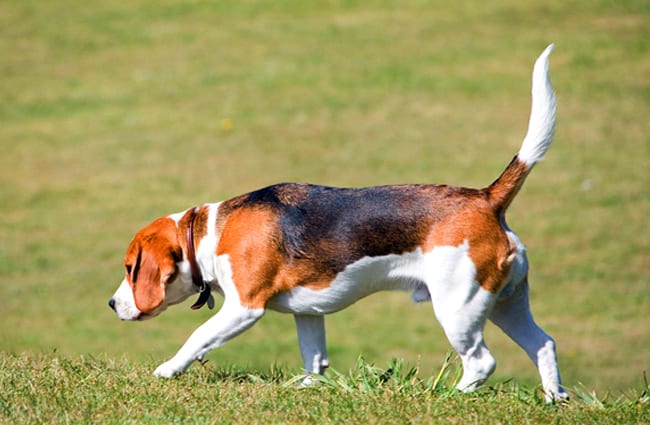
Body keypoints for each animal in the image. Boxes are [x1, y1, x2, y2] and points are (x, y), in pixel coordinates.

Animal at [109, 46, 564, 400]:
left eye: (131, 268)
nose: (112, 304)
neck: (211, 230)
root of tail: (486, 198)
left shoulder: (244, 307)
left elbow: (198, 337)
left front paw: (168, 369)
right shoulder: (308, 312)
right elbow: (315, 356)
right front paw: (309, 387)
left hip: (459, 306)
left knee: (482, 361)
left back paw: (452, 395)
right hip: (506, 301)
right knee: (543, 344)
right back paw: (554, 399)